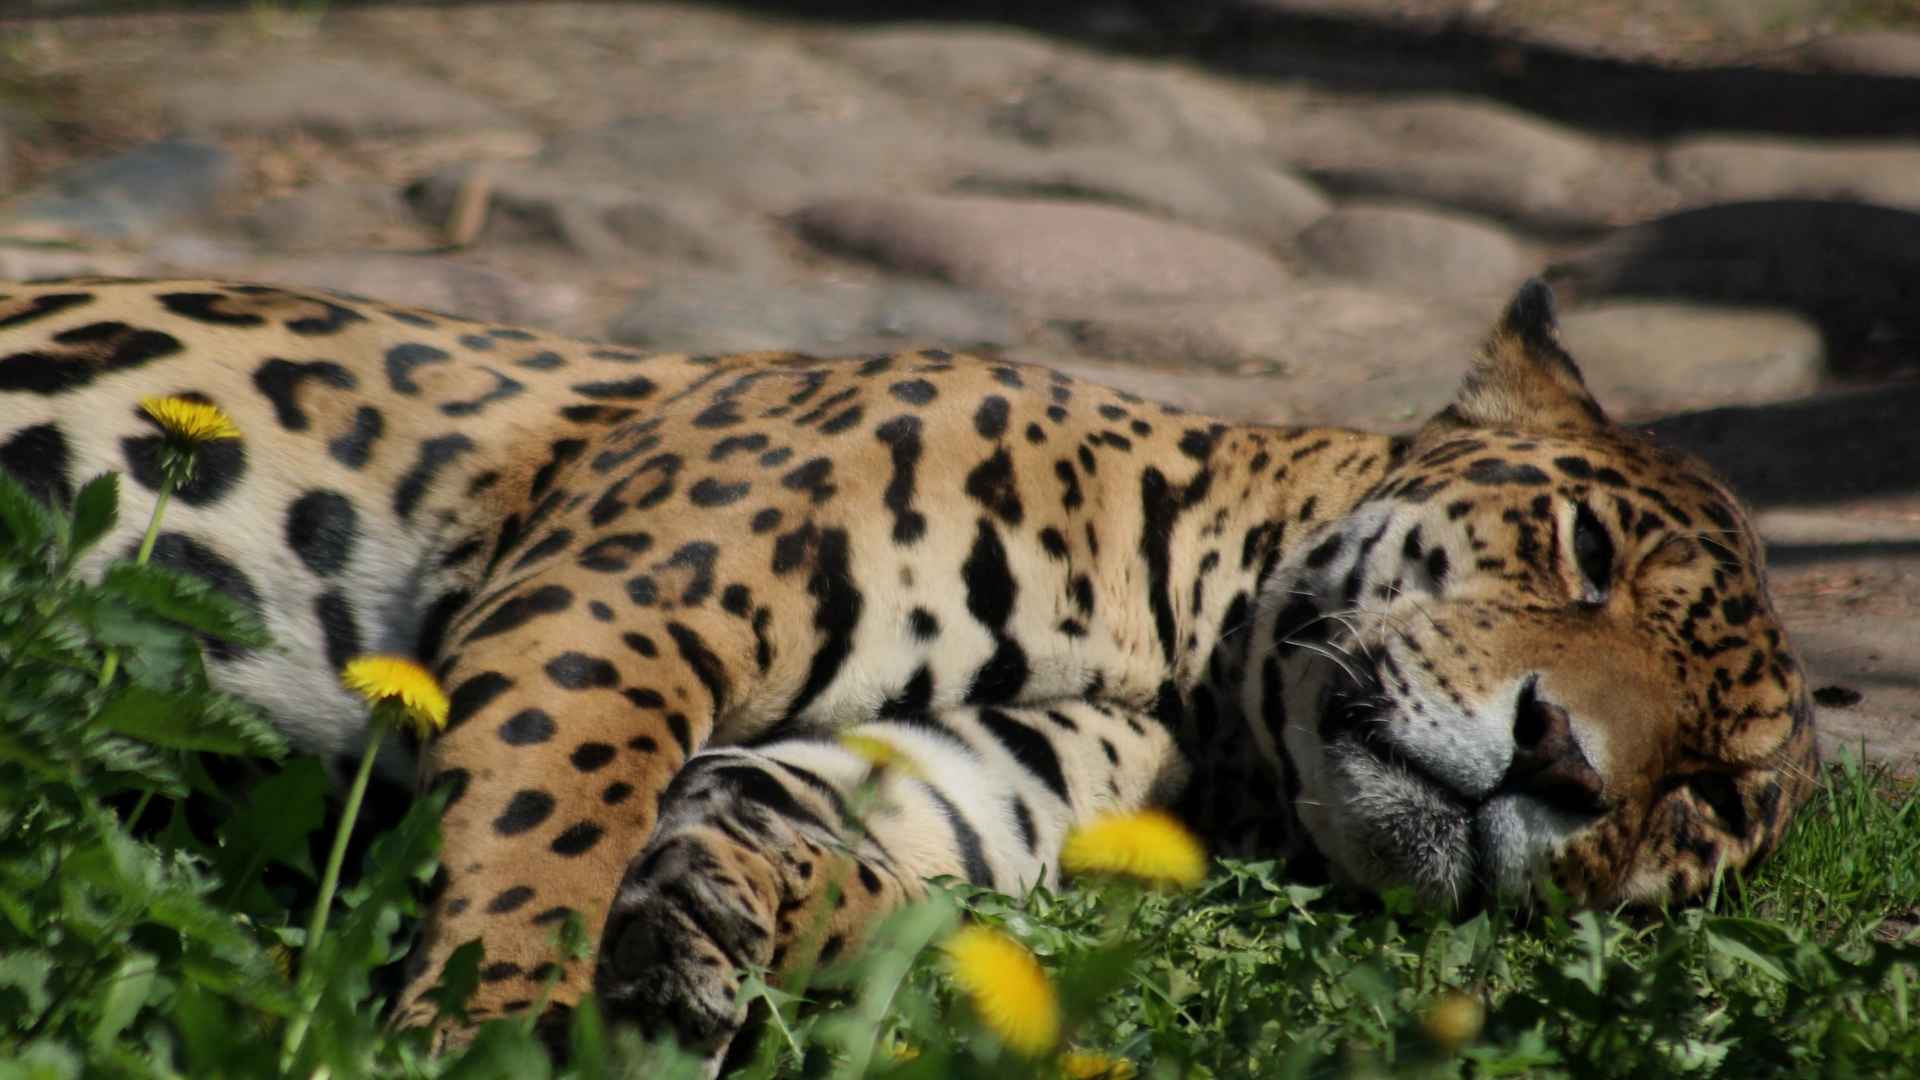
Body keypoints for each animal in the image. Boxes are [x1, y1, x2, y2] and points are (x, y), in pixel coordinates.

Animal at [0, 276, 1817, 1060]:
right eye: (1584, 550)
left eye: (1708, 806)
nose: (1559, 761)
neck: (1196, 679)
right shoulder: (613, 606)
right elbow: (545, 838)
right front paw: (494, 1025)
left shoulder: (957, 777)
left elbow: (903, 898)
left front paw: (714, 928)